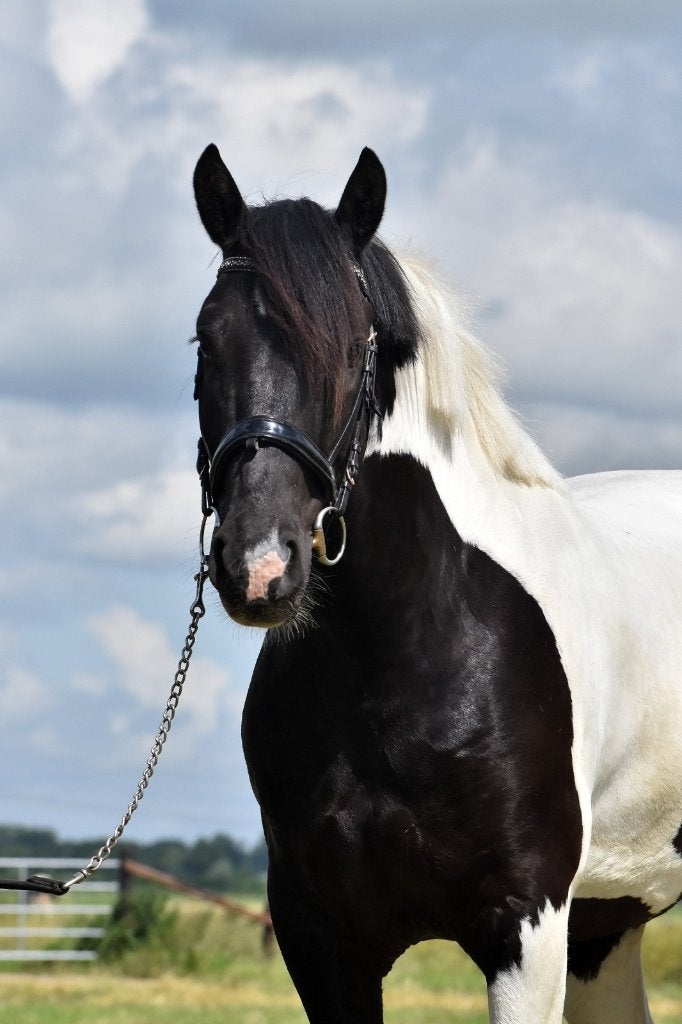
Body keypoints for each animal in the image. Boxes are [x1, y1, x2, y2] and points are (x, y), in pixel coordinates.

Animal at [191, 144, 682, 1023]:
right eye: (207, 341)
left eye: (355, 347)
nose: (261, 565)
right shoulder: (321, 939)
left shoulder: (526, 928)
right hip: (608, 923)